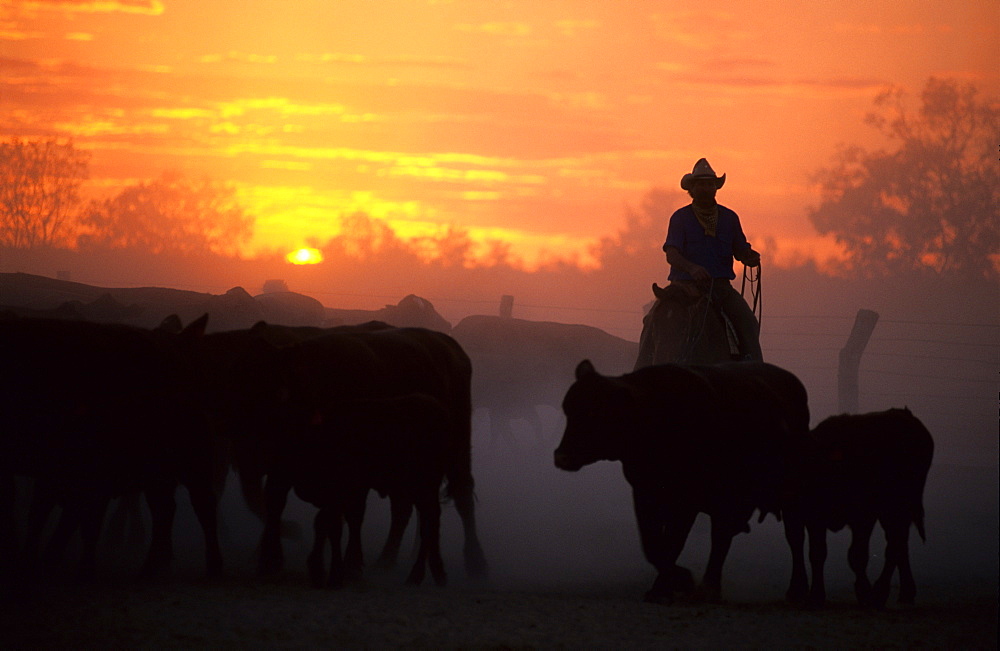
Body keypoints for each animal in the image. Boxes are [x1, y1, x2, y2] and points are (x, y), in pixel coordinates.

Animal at [556, 360, 812, 604]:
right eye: (568, 410)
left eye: (594, 413)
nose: (561, 457)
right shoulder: (644, 492)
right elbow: (652, 544)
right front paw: (673, 582)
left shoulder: (687, 499)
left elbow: (673, 542)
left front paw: (671, 585)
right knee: (721, 538)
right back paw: (710, 588)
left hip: (791, 494)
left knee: (794, 536)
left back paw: (797, 590)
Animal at [780, 410, 936, 608]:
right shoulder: (803, 516)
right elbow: (808, 549)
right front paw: (805, 592)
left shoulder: (862, 516)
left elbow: (856, 555)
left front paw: (863, 591)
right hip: (893, 512)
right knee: (900, 543)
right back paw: (905, 593)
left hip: (898, 507)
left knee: (895, 544)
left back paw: (880, 592)